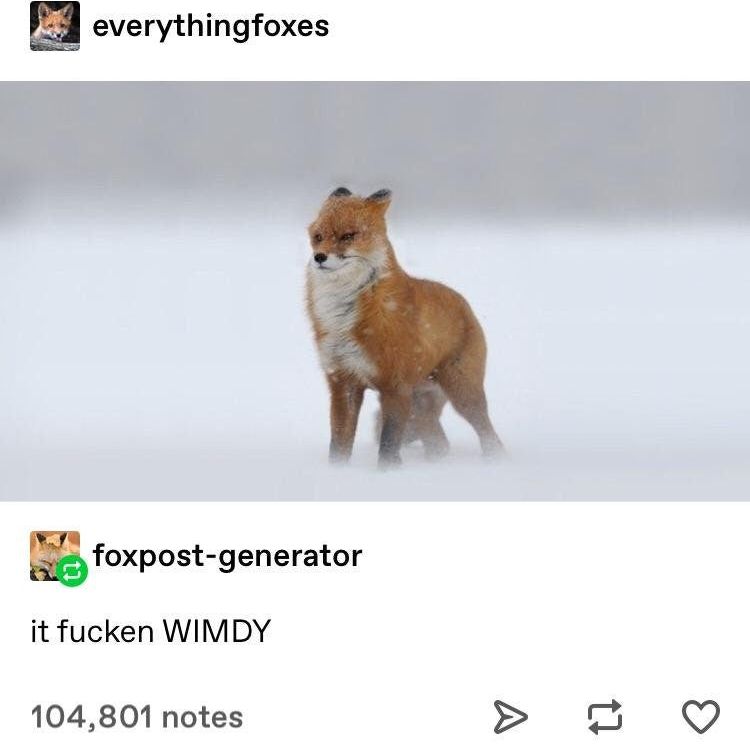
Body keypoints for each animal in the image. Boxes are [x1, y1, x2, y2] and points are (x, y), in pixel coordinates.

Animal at [306, 187, 503, 468]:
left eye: (348, 236)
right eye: (318, 237)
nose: (319, 257)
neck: (345, 316)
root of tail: (465, 305)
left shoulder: (394, 386)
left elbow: (388, 444)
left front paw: (387, 474)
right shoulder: (343, 382)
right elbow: (339, 444)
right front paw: (338, 472)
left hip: (462, 394)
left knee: (488, 435)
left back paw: (495, 462)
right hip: (420, 405)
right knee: (440, 444)